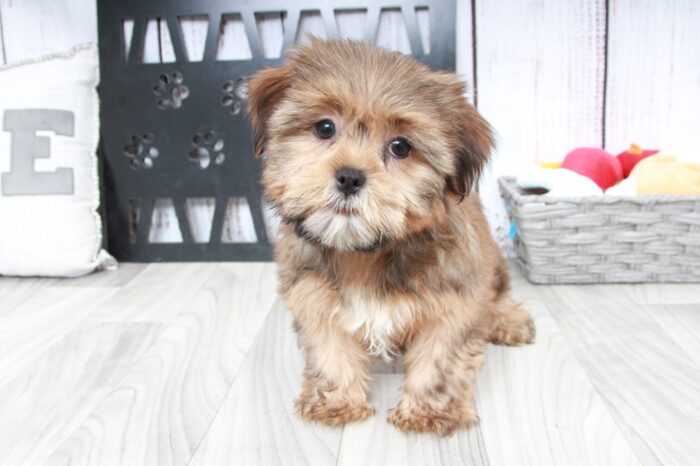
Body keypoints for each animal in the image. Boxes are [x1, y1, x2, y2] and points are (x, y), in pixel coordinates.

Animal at [249, 38, 532, 436]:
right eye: (325, 128)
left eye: (400, 147)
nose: (350, 177)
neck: (364, 253)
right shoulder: (312, 293)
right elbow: (329, 348)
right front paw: (337, 401)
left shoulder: (454, 299)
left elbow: (440, 357)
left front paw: (429, 411)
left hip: (492, 262)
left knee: (498, 293)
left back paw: (509, 321)